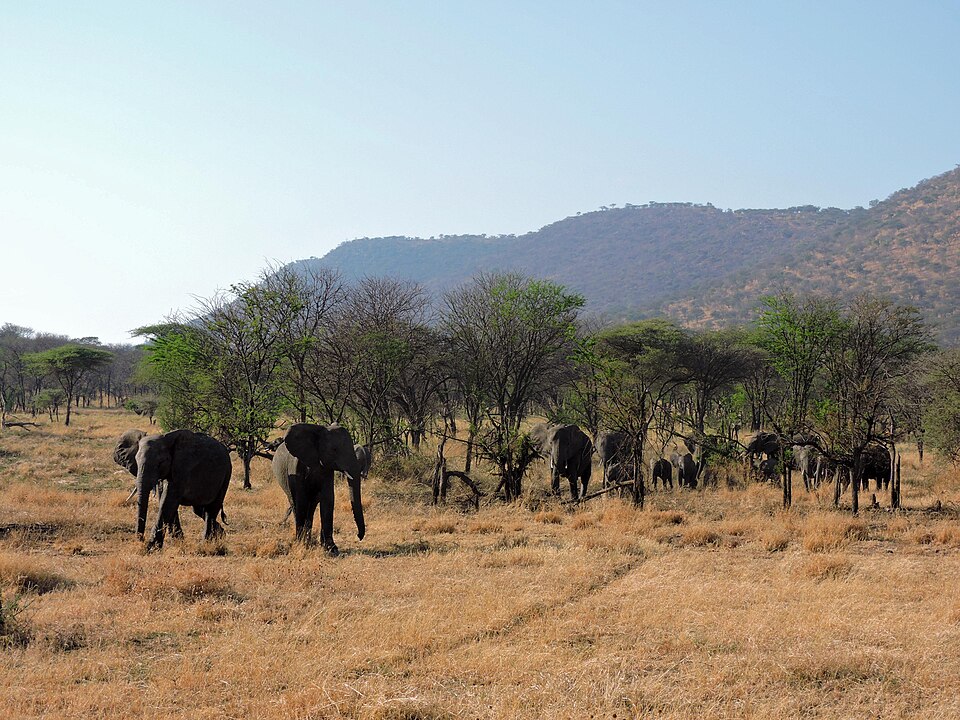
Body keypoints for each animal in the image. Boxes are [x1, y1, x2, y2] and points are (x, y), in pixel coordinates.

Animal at [272, 423, 365, 553]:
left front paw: (331, 549)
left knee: (311, 507)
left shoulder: (327, 468)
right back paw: (304, 540)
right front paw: (302, 545)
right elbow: (301, 500)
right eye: (334, 450)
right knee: (295, 503)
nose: (358, 536)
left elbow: (328, 499)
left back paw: (309, 540)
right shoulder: (296, 466)